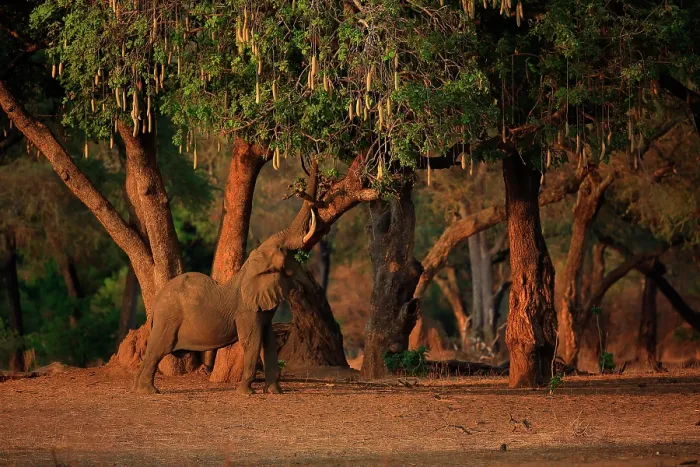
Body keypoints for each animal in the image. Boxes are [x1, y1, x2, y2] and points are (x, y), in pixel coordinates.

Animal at [133, 168, 319, 395]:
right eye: (283, 250)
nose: (306, 195)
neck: (251, 268)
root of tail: (157, 300)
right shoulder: (246, 310)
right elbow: (253, 341)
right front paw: (246, 393)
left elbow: (268, 341)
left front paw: (275, 392)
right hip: (168, 317)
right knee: (160, 348)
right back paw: (148, 390)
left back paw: (139, 388)